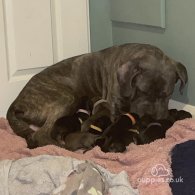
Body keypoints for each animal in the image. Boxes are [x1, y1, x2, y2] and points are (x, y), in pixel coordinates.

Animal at [6, 43, 188, 148]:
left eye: (167, 94)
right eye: (141, 91)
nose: (151, 118)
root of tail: (15, 103)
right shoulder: (114, 108)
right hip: (65, 97)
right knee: (40, 135)